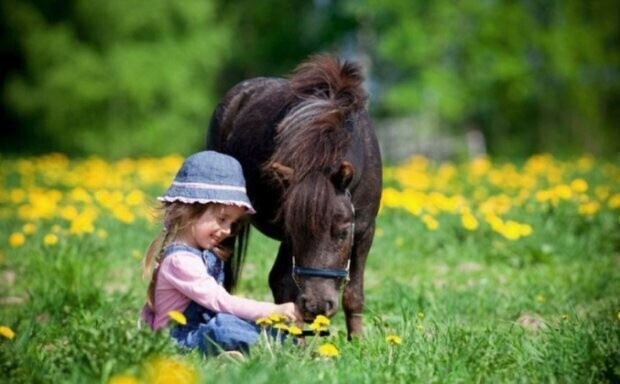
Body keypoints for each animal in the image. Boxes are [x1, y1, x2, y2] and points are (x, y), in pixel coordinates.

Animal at [207, 53, 382, 336]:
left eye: (343, 232)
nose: (317, 305)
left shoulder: (365, 229)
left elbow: (354, 294)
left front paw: (357, 341)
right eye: (297, 230)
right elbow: (285, 285)